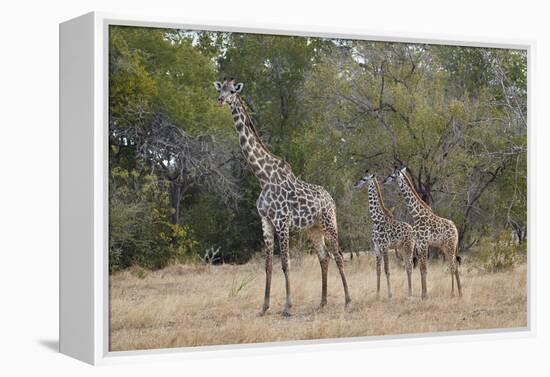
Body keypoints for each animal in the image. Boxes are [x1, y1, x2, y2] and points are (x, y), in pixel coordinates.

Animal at [213, 77, 352, 314]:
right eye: (220, 89)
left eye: (232, 91)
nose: (221, 100)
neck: (263, 176)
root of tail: (331, 199)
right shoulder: (266, 222)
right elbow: (268, 265)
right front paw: (264, 307)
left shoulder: (282, 221)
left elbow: (286, 263)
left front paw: (287, 306)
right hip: (313, 229)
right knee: (324, 257)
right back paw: (322, 301)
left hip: (329, 223)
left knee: (339, 256)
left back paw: (347, 300)